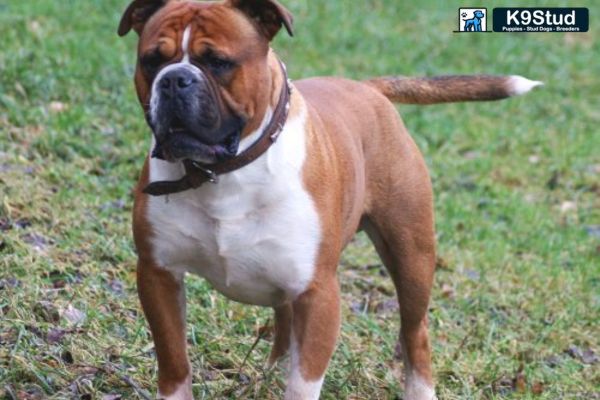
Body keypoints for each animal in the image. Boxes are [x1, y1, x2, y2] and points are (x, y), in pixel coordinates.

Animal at [116, 1, 540, 398]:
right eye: (152, 61)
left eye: (218, 62)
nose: (175, 80)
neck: (223, 173)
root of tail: (369, 88)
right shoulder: (158, 275)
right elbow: (174, 363)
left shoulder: (318, 294)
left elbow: (303, 383)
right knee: (284, 321)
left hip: (412, 257)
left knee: (414, 330)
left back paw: (420, 389)